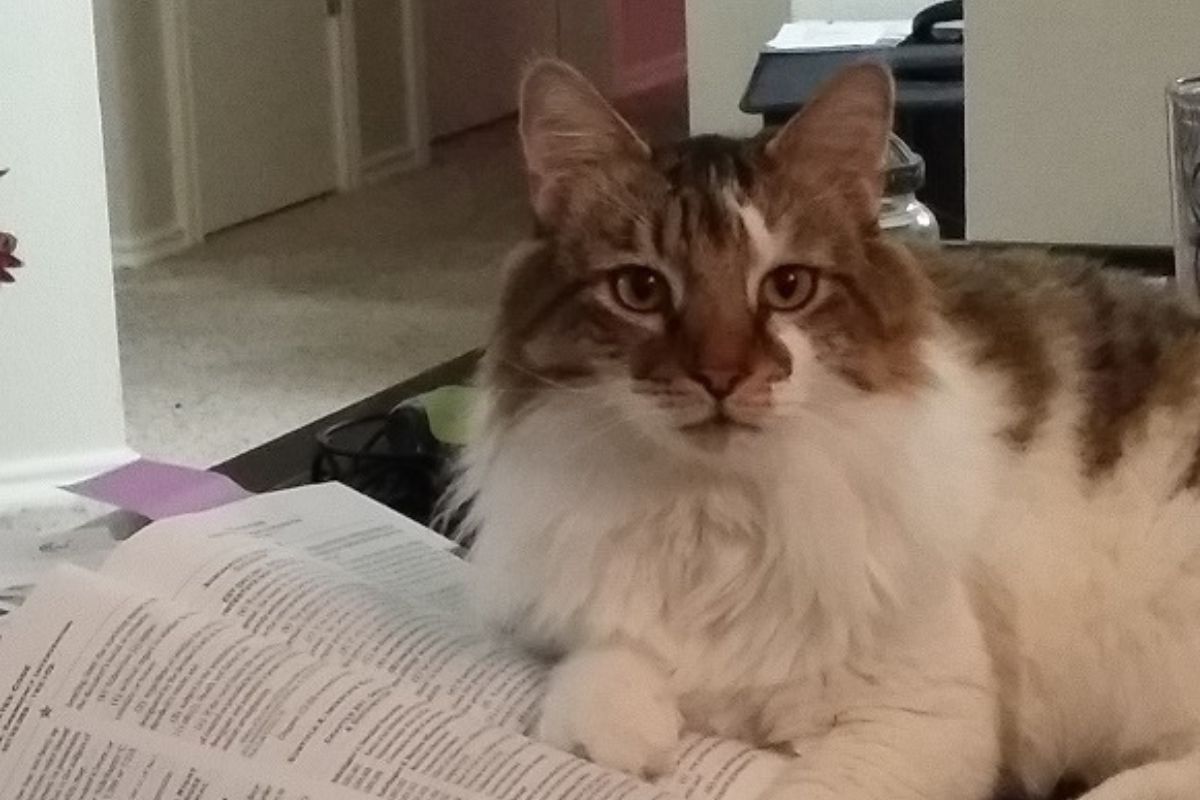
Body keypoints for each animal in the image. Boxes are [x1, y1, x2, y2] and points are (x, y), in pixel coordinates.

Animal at [446, 61, 1200, 800]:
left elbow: (813, 785)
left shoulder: (917, 715)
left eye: (788, 288)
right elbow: (602, 670)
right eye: (640, 289)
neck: (712, 509)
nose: (721, 376)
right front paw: (620, 741)